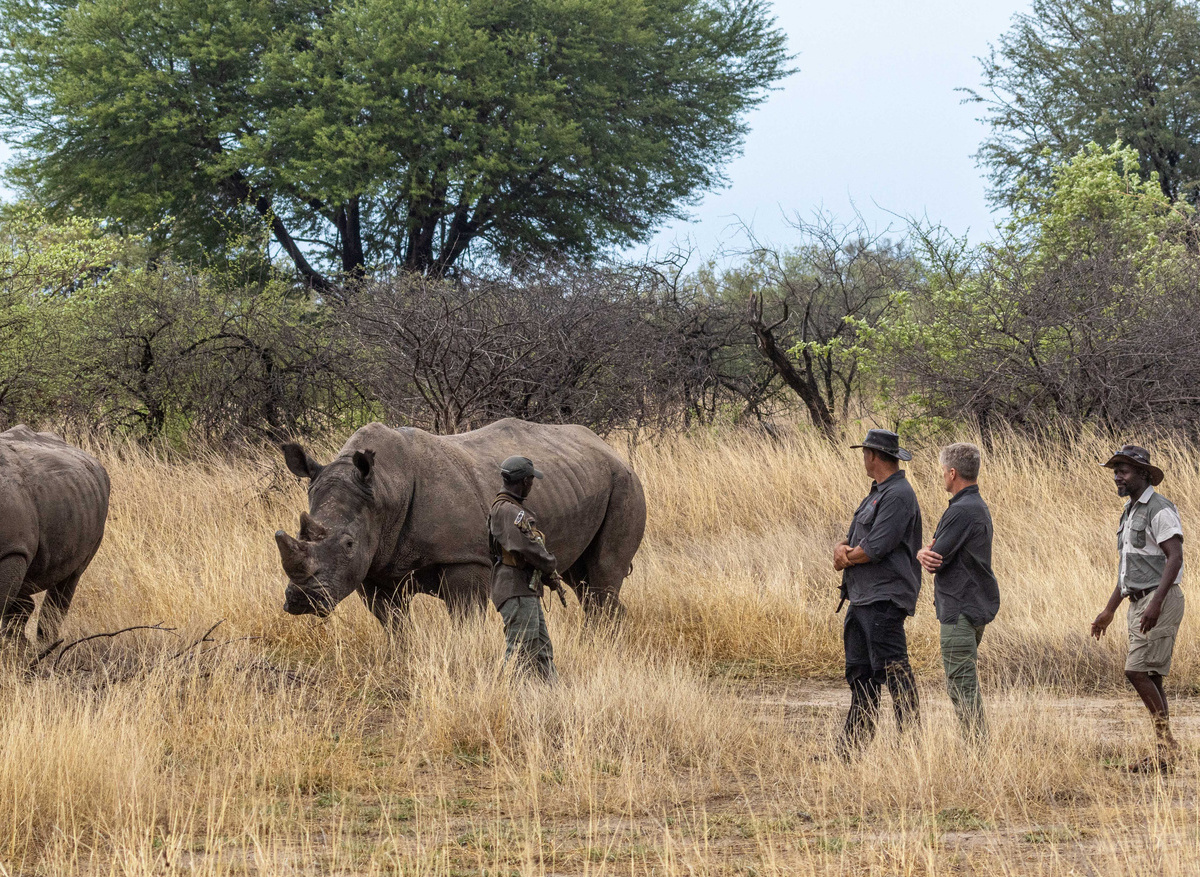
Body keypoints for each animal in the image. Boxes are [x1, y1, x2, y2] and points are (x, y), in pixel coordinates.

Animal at [274, 419, 646, 626]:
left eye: (349, 543)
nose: (303, 600)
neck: (383, 489)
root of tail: (608, 448)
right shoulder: (374, 565)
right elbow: (394, 625)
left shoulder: (464, 559)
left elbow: (465, 621)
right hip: (583, 481)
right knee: (581, 580)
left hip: (626, 483)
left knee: (603, 576)